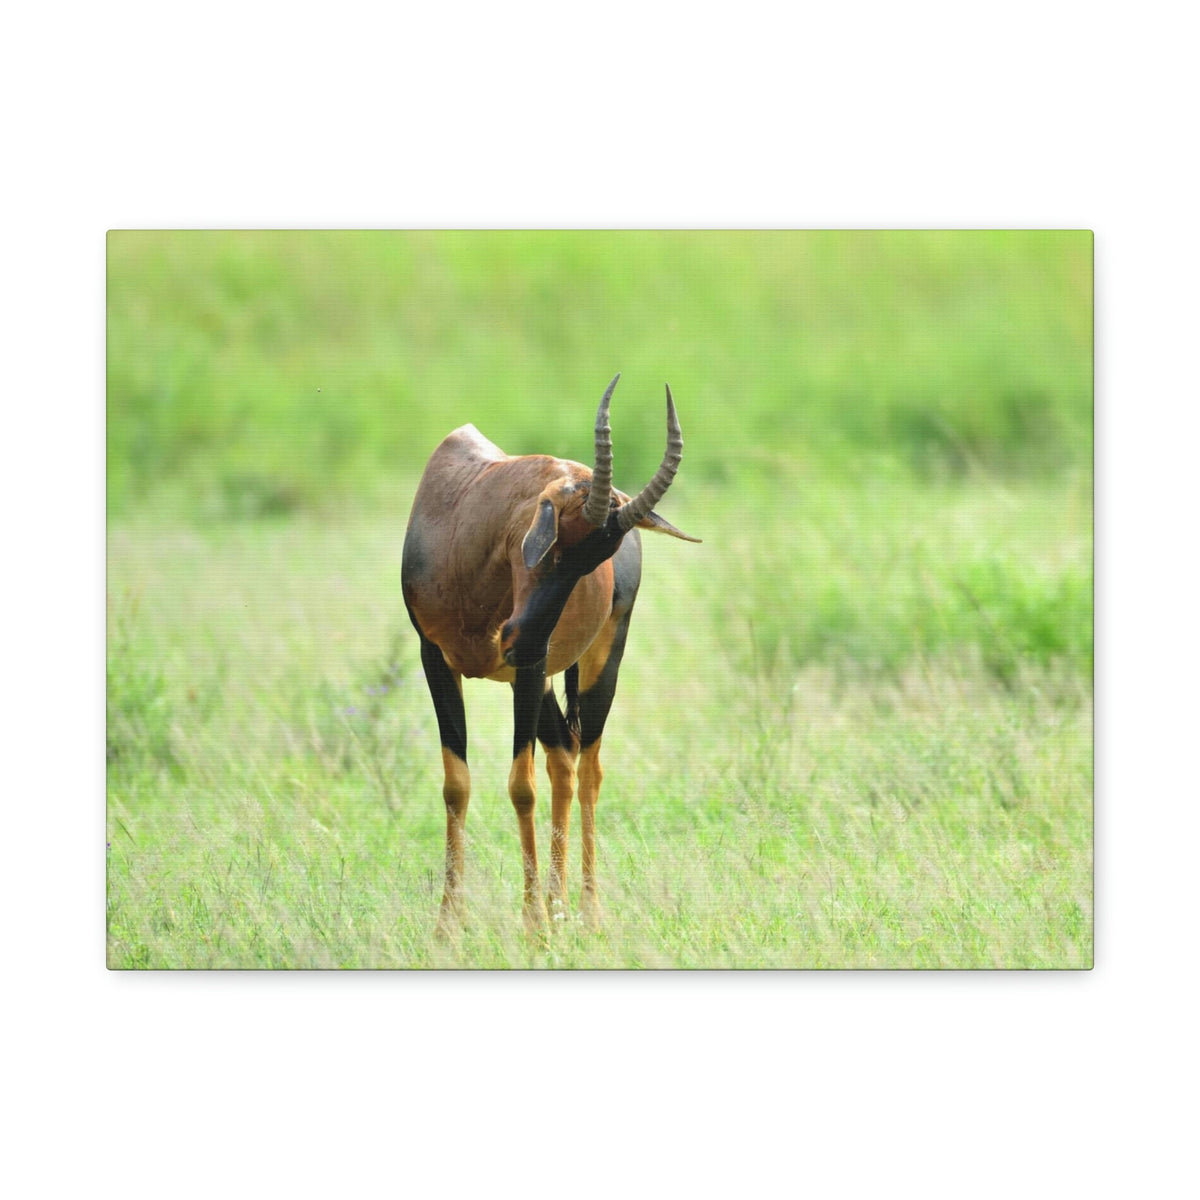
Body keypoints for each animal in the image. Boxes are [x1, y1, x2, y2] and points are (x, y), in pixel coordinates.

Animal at [402, 374, 698, 932]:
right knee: (563, 757)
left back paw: (586, 912)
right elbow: (457, 783)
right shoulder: (436, 659)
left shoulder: (530, 668)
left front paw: (532, 927)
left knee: (589, 768)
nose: (516, 638)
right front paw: (449, 927)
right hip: (539, 680)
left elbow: (521, 786)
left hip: (594, 662)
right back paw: (560, 907)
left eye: (596, 560)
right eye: (556, 541)